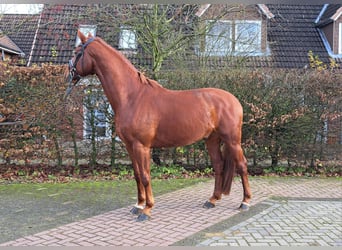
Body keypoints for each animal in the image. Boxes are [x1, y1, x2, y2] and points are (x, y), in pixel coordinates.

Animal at [67, 30, 251, 221]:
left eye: (76, 52)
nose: (68, 72)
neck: (132, 97)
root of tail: (234, 99)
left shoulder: (142, 146)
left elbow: (145, 176)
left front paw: (147, 209)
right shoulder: (130, 146)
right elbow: (137, 175)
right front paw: (138, 205)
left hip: (232, 140)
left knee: (242, 165)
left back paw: (245, 202)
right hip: (212, 140)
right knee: (219, 166)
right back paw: (212, 200)